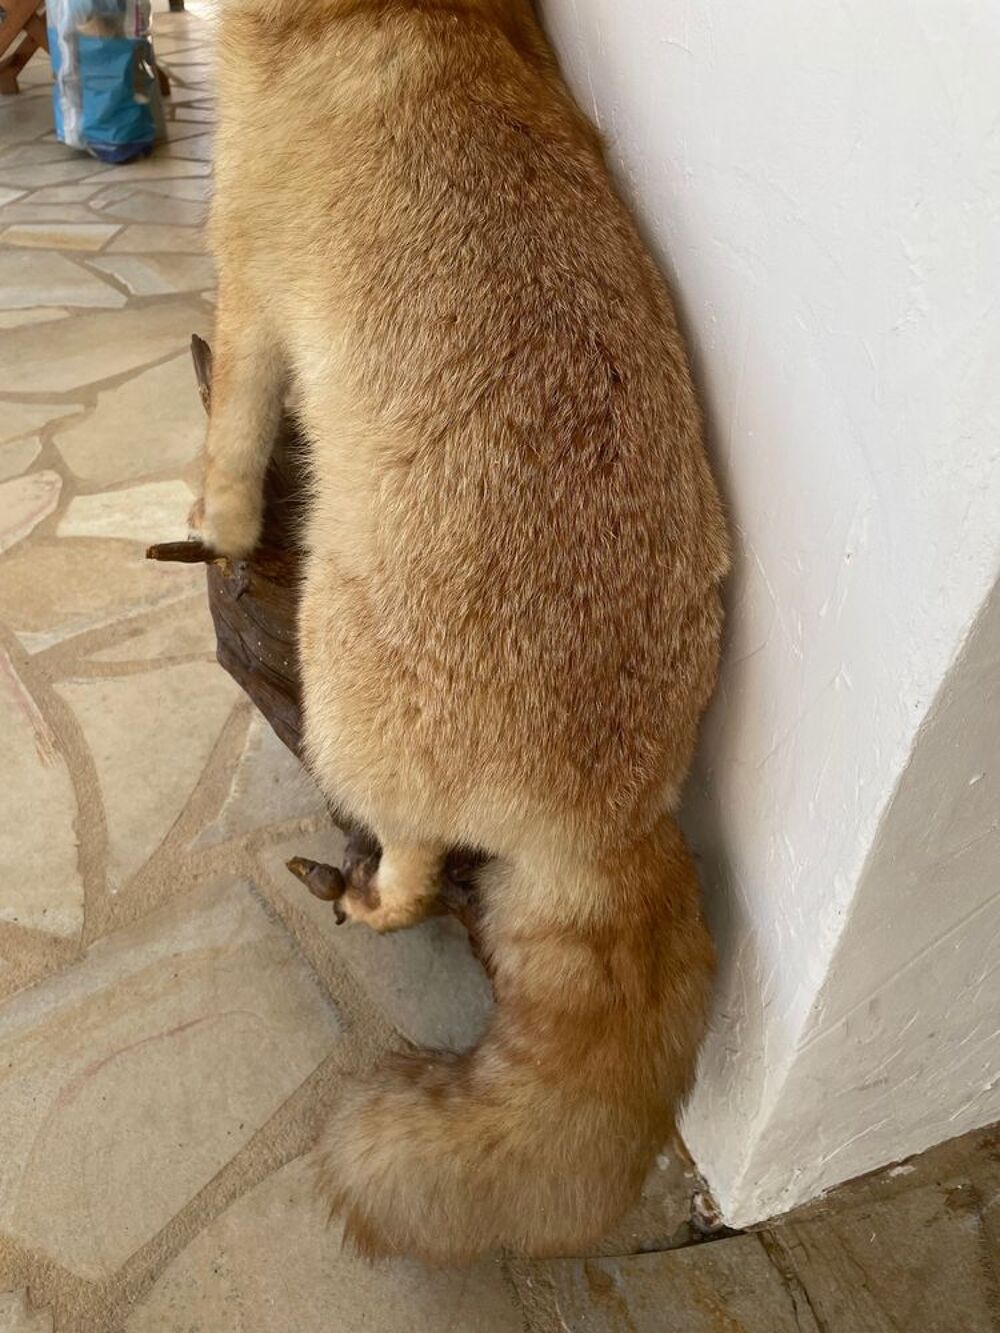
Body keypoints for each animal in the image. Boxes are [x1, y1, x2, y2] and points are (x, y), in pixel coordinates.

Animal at [196, 0, 728, 1261]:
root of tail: (611, 818)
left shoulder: (246, 275)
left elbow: (228, 454)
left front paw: (210, 530)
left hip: (337, 677)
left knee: (419, 867)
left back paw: (362, 893)